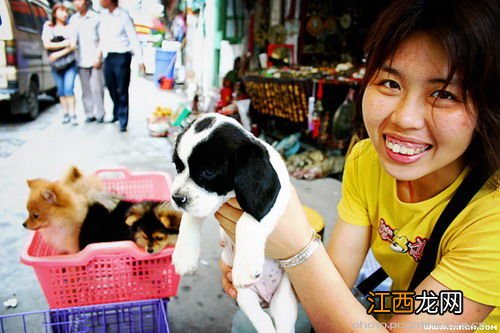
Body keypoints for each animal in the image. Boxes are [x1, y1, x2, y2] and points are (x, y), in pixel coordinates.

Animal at [171, 113, 296, 330]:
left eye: (208, 172)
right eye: (178, 167)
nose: (177, 198)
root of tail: (267, 298)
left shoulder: (279, 194)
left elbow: (248, 221)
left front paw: (245, 266)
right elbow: (189, 218)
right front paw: (184, 256)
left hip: (285, 300)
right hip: (245, 296)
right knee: (262, 320)